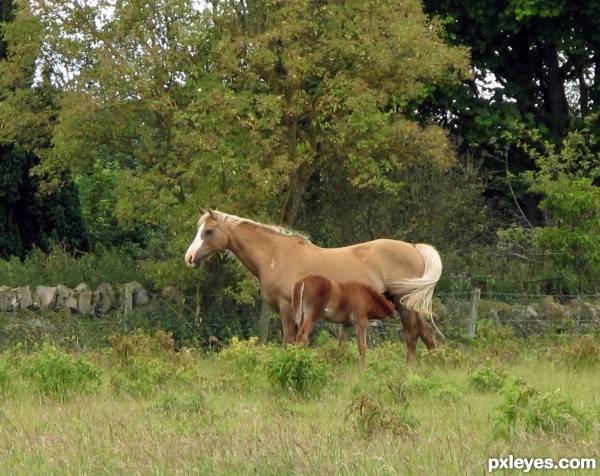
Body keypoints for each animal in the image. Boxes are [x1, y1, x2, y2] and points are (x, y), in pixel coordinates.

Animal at [185, 210, 442, 362]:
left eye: (209, 231)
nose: (189, 257)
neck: (276, 254)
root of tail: (414, 248)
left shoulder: (287, 308)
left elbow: (289, 341)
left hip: (403, 305)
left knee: (411, 336)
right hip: (408, 305)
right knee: (426, 335)